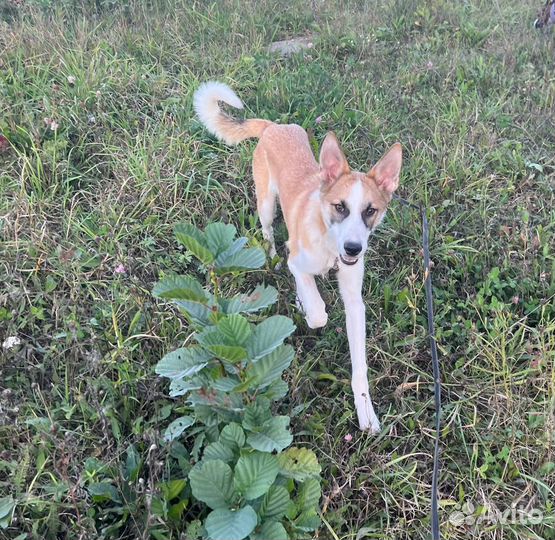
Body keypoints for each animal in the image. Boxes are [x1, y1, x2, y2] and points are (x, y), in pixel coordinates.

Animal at [193, 81, 402, 434]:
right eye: (340, 207)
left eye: (370, 211)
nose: (353, 249)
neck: (329, 246)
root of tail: (273, 127)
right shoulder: (298, 261)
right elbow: (318, 312)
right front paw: (307, 305)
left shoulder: (354, 302)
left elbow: (359, 366)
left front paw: (366, 412)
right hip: (265, 203)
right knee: (268, 234)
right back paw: (275, 260)